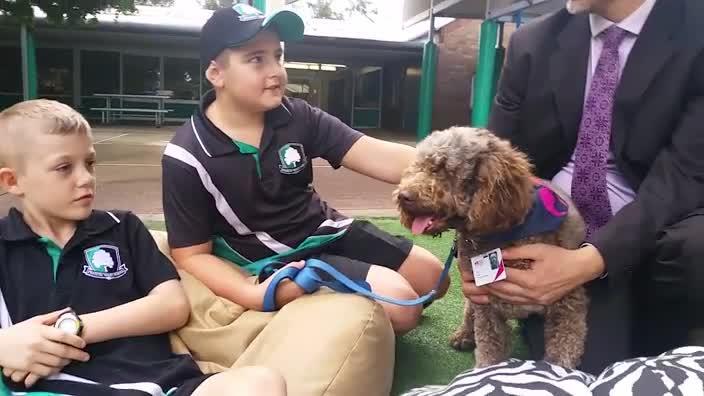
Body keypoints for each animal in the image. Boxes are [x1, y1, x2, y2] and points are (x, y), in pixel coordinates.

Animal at [396, 126, 588, 368]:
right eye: (419, 165)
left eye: (443, 169)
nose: (403, 196)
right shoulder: (487, 306)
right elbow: (490, 348)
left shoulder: (567, 304)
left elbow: (563, 349)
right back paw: (463, 334)